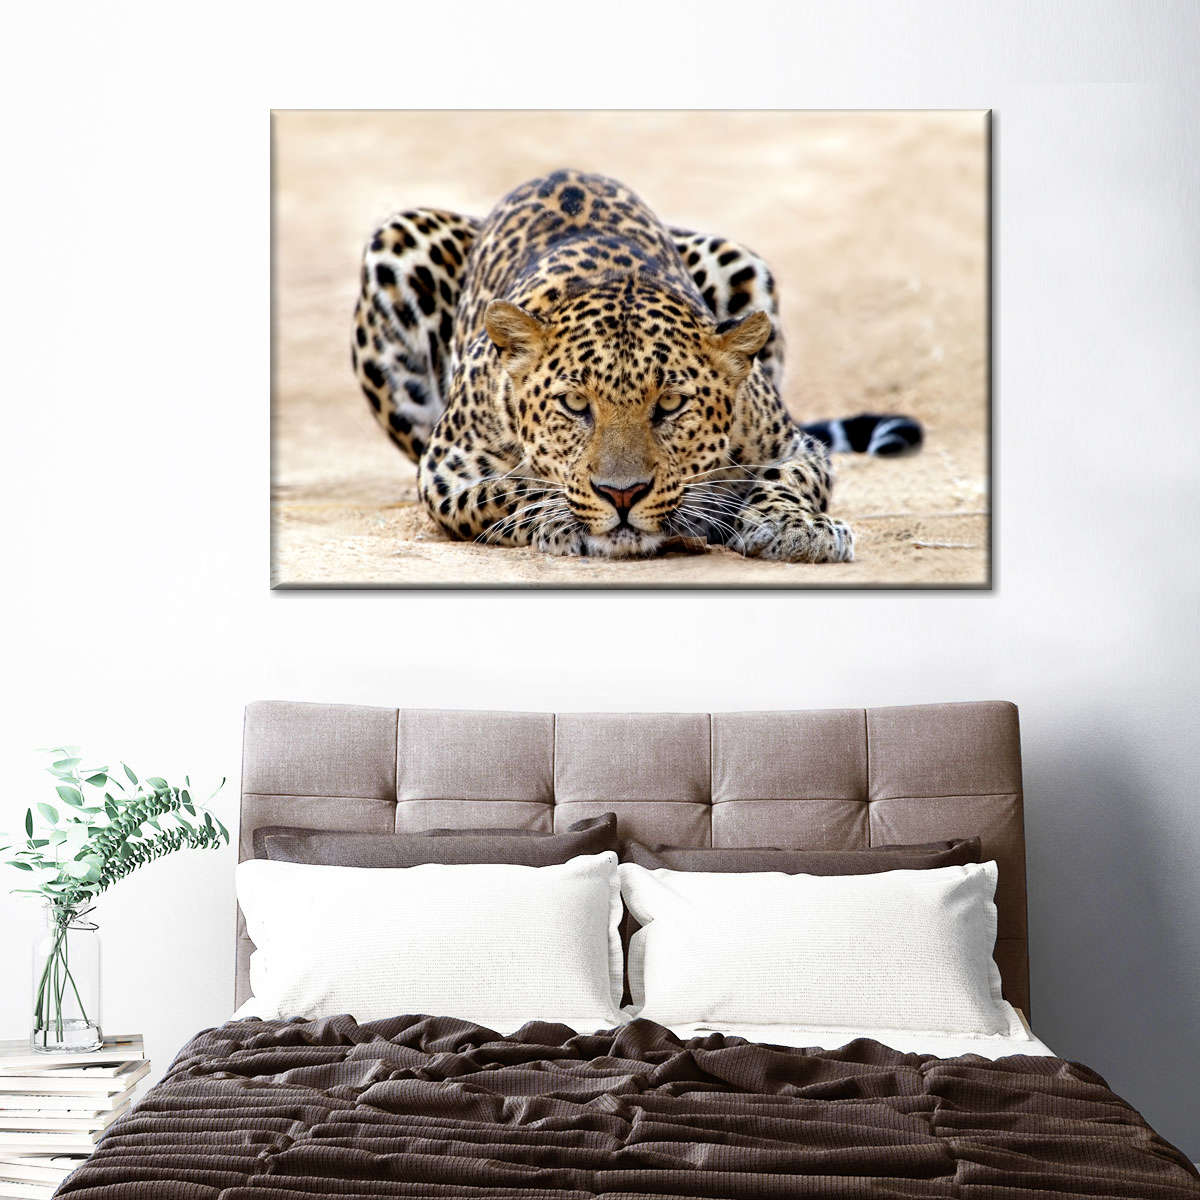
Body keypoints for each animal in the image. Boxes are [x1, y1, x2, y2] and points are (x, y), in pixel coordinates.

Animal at [351, 170, 921, 562]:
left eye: (670, 405)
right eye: (574, 404)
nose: (621, 494)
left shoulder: (795, 445)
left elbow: (786, 479)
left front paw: (797, 528)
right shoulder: (446, 470)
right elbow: (512, 490)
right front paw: (562, 519)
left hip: (737, 257)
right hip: (398, 240)